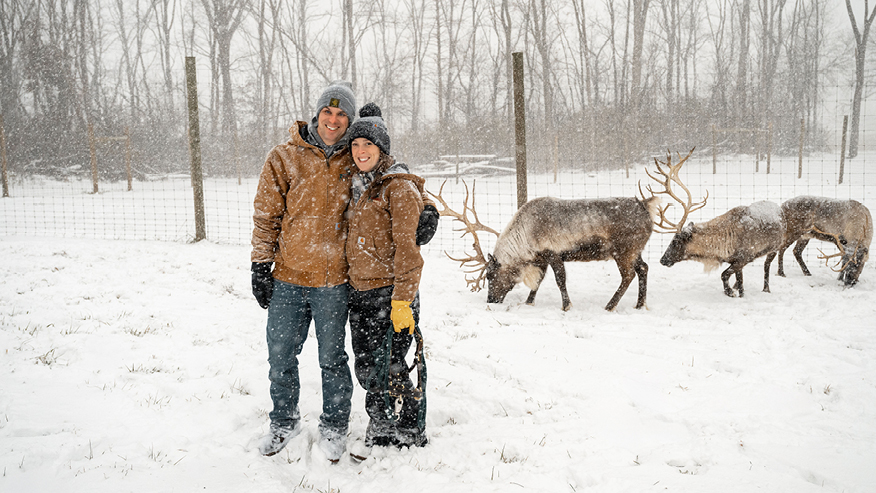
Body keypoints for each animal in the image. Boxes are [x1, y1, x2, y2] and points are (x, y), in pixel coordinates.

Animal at [429, 180, 661, 311]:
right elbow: (538, 282)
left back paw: (610, 306)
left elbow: (560, 281)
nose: (491, 300)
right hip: (635, 251)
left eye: (490, 275)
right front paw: (529, 302)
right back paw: (639, 304)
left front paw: (566, 306)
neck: (525, 239)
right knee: (643, 268)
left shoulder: (553, 253)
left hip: (623, 250)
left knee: (628, 275)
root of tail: (645, 206)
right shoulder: (540, 258)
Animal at [644, 149, 784, 298]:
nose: (662, 260)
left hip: (774, 248)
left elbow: (724, 275)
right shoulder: (736, 261)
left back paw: (766, 288)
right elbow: (739, 280)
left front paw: (730, 292)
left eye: (676, 241)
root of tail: (779, 208)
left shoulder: (744, 257)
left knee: (766, 266)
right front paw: (738, 292)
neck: (723, 244)